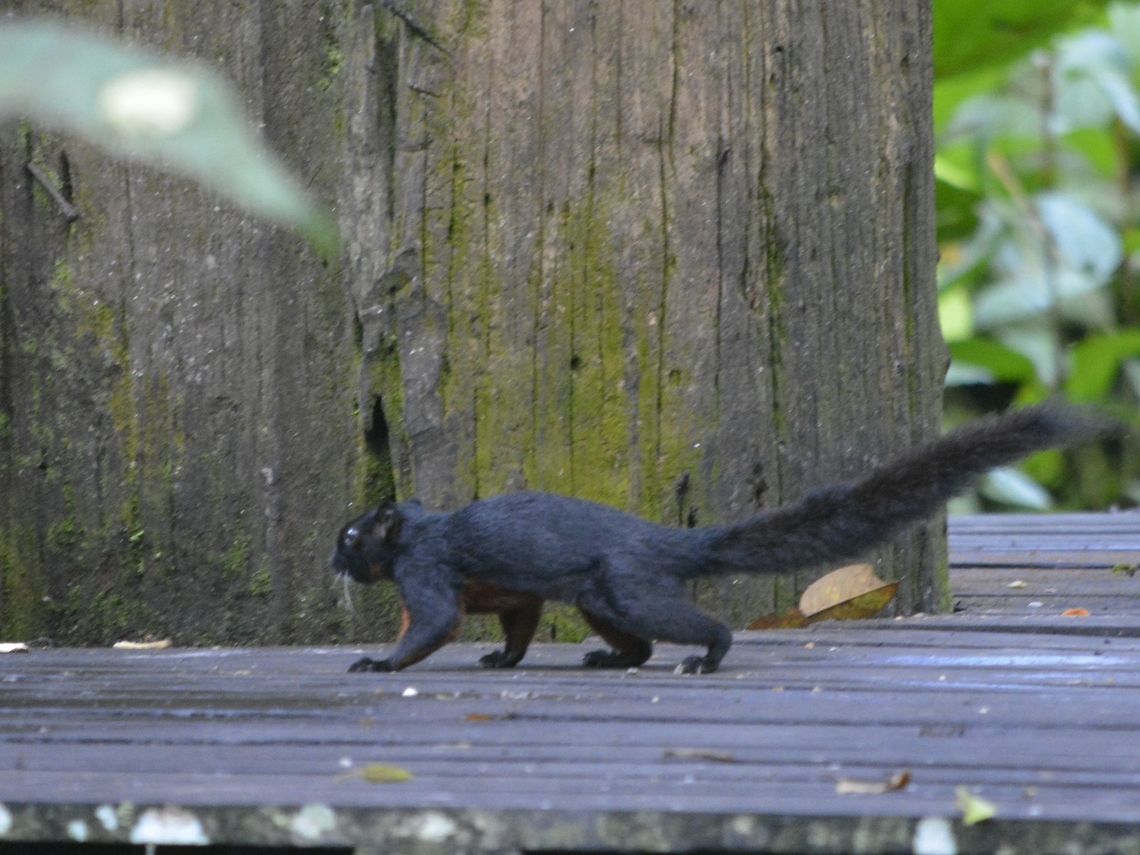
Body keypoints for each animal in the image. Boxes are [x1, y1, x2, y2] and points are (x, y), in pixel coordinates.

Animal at [331, 403, 1113, 674]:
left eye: (351, 534)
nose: (333, 558)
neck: (421, 528)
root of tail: (665, 542)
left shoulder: (428, 570)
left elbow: (434, 623)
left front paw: (378, 662)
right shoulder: (515, 592)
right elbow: (519, 623)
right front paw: (501, 656)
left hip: (626, 590)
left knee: (695, 627)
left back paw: (705, 658)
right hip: (598, 598)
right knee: (637, 644)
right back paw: (611, 660)